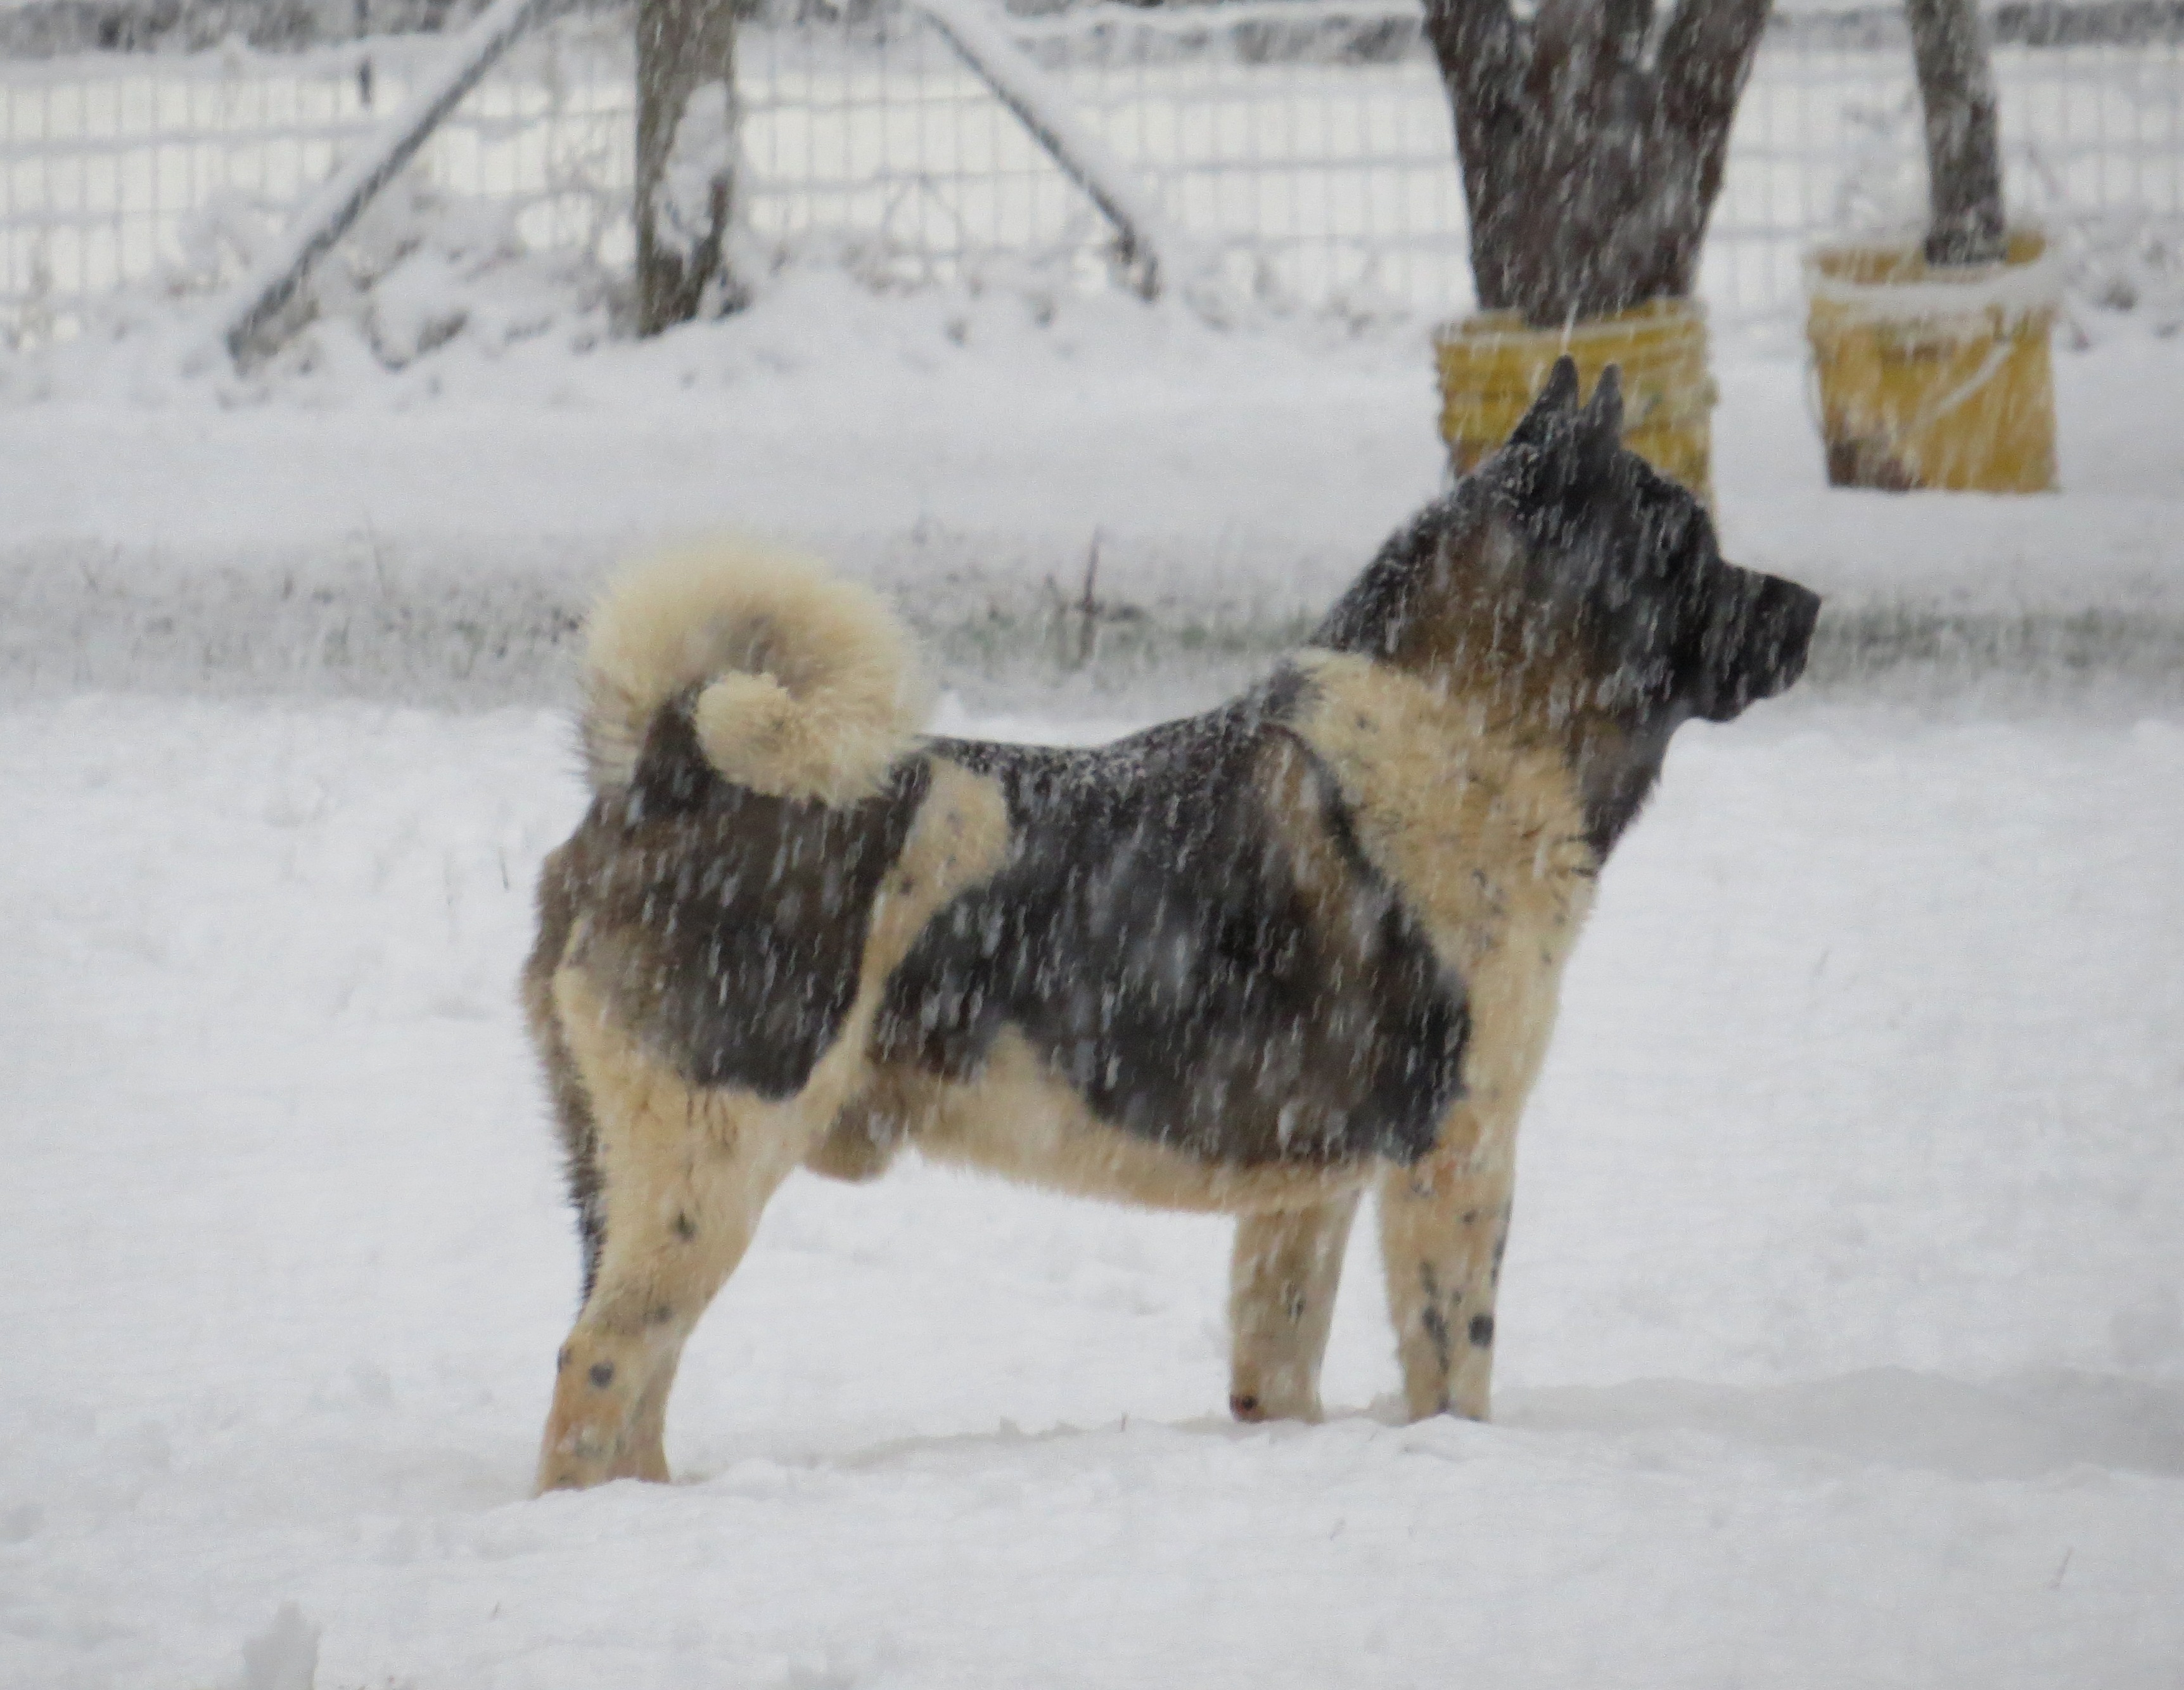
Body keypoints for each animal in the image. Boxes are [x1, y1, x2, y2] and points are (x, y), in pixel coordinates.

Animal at [524, 358, 1820, 1491]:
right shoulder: (1457, 1157)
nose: (1807, 605)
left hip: (635, 1182)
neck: (1465, 737)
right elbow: (1455, 1368)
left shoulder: (1303, 1195)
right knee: (596, 1365)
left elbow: (1275, 1365)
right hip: (711, 1166)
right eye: (1683, 541)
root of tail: (665, 769)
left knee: (633, 1374)